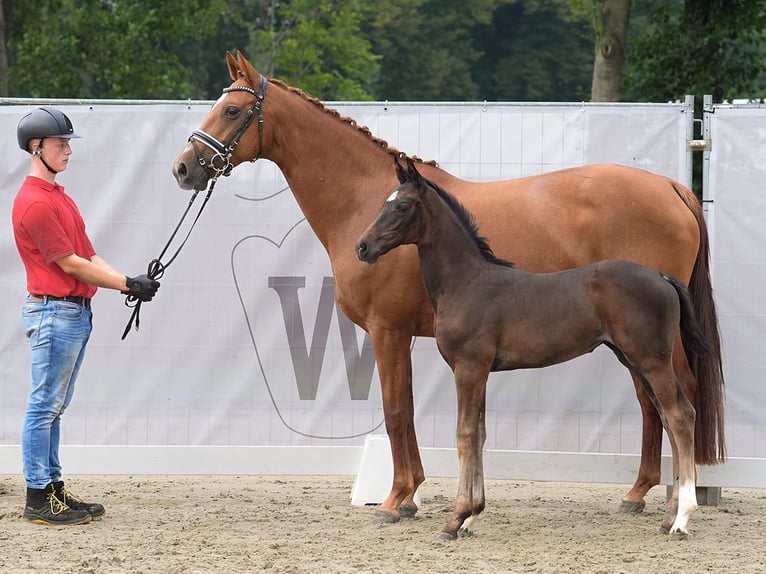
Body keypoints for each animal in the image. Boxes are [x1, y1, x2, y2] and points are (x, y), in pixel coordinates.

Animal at [356, 158, 712, 540]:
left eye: (402, 206)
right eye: (384, 203)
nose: (362, 247)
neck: (467, 283)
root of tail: (661, 277)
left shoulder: (468, 367)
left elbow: (464, 435)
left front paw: (455, 519)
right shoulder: (481, 372)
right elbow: (479, 434)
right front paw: (472, 517)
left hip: (651, 361)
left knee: (680, 415)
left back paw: (682, 518)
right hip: (636, 360)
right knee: (668, 416)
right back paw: (669, 515)